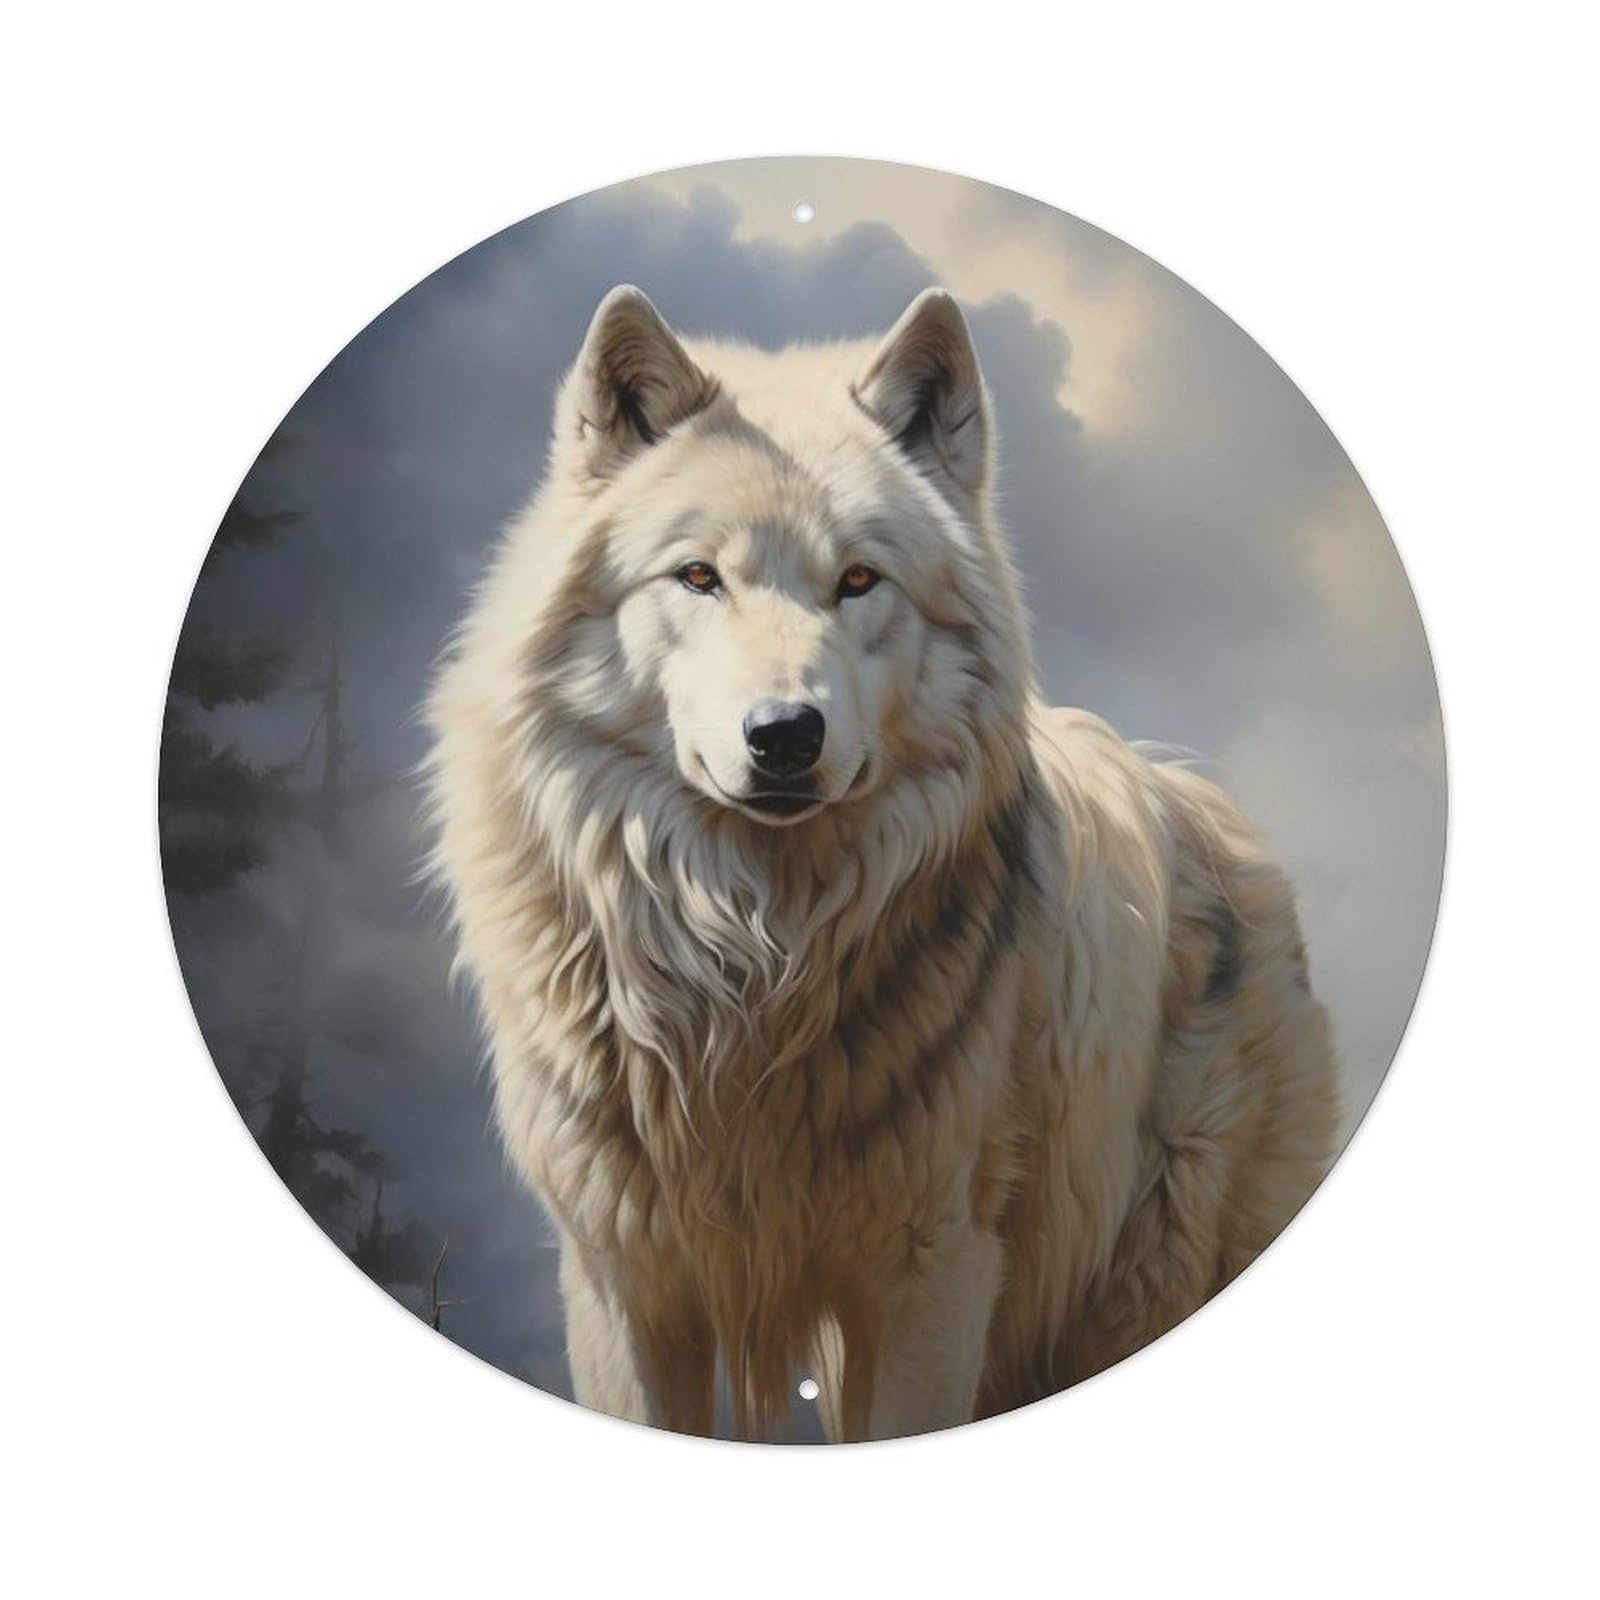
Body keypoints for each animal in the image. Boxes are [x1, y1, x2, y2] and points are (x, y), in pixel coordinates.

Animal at [425, 284, 1339, 1441]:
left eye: (858, 581)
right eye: (698, 577)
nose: (785, 736)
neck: (752, 968)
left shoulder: (933, 1273)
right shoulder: (623, 1277)